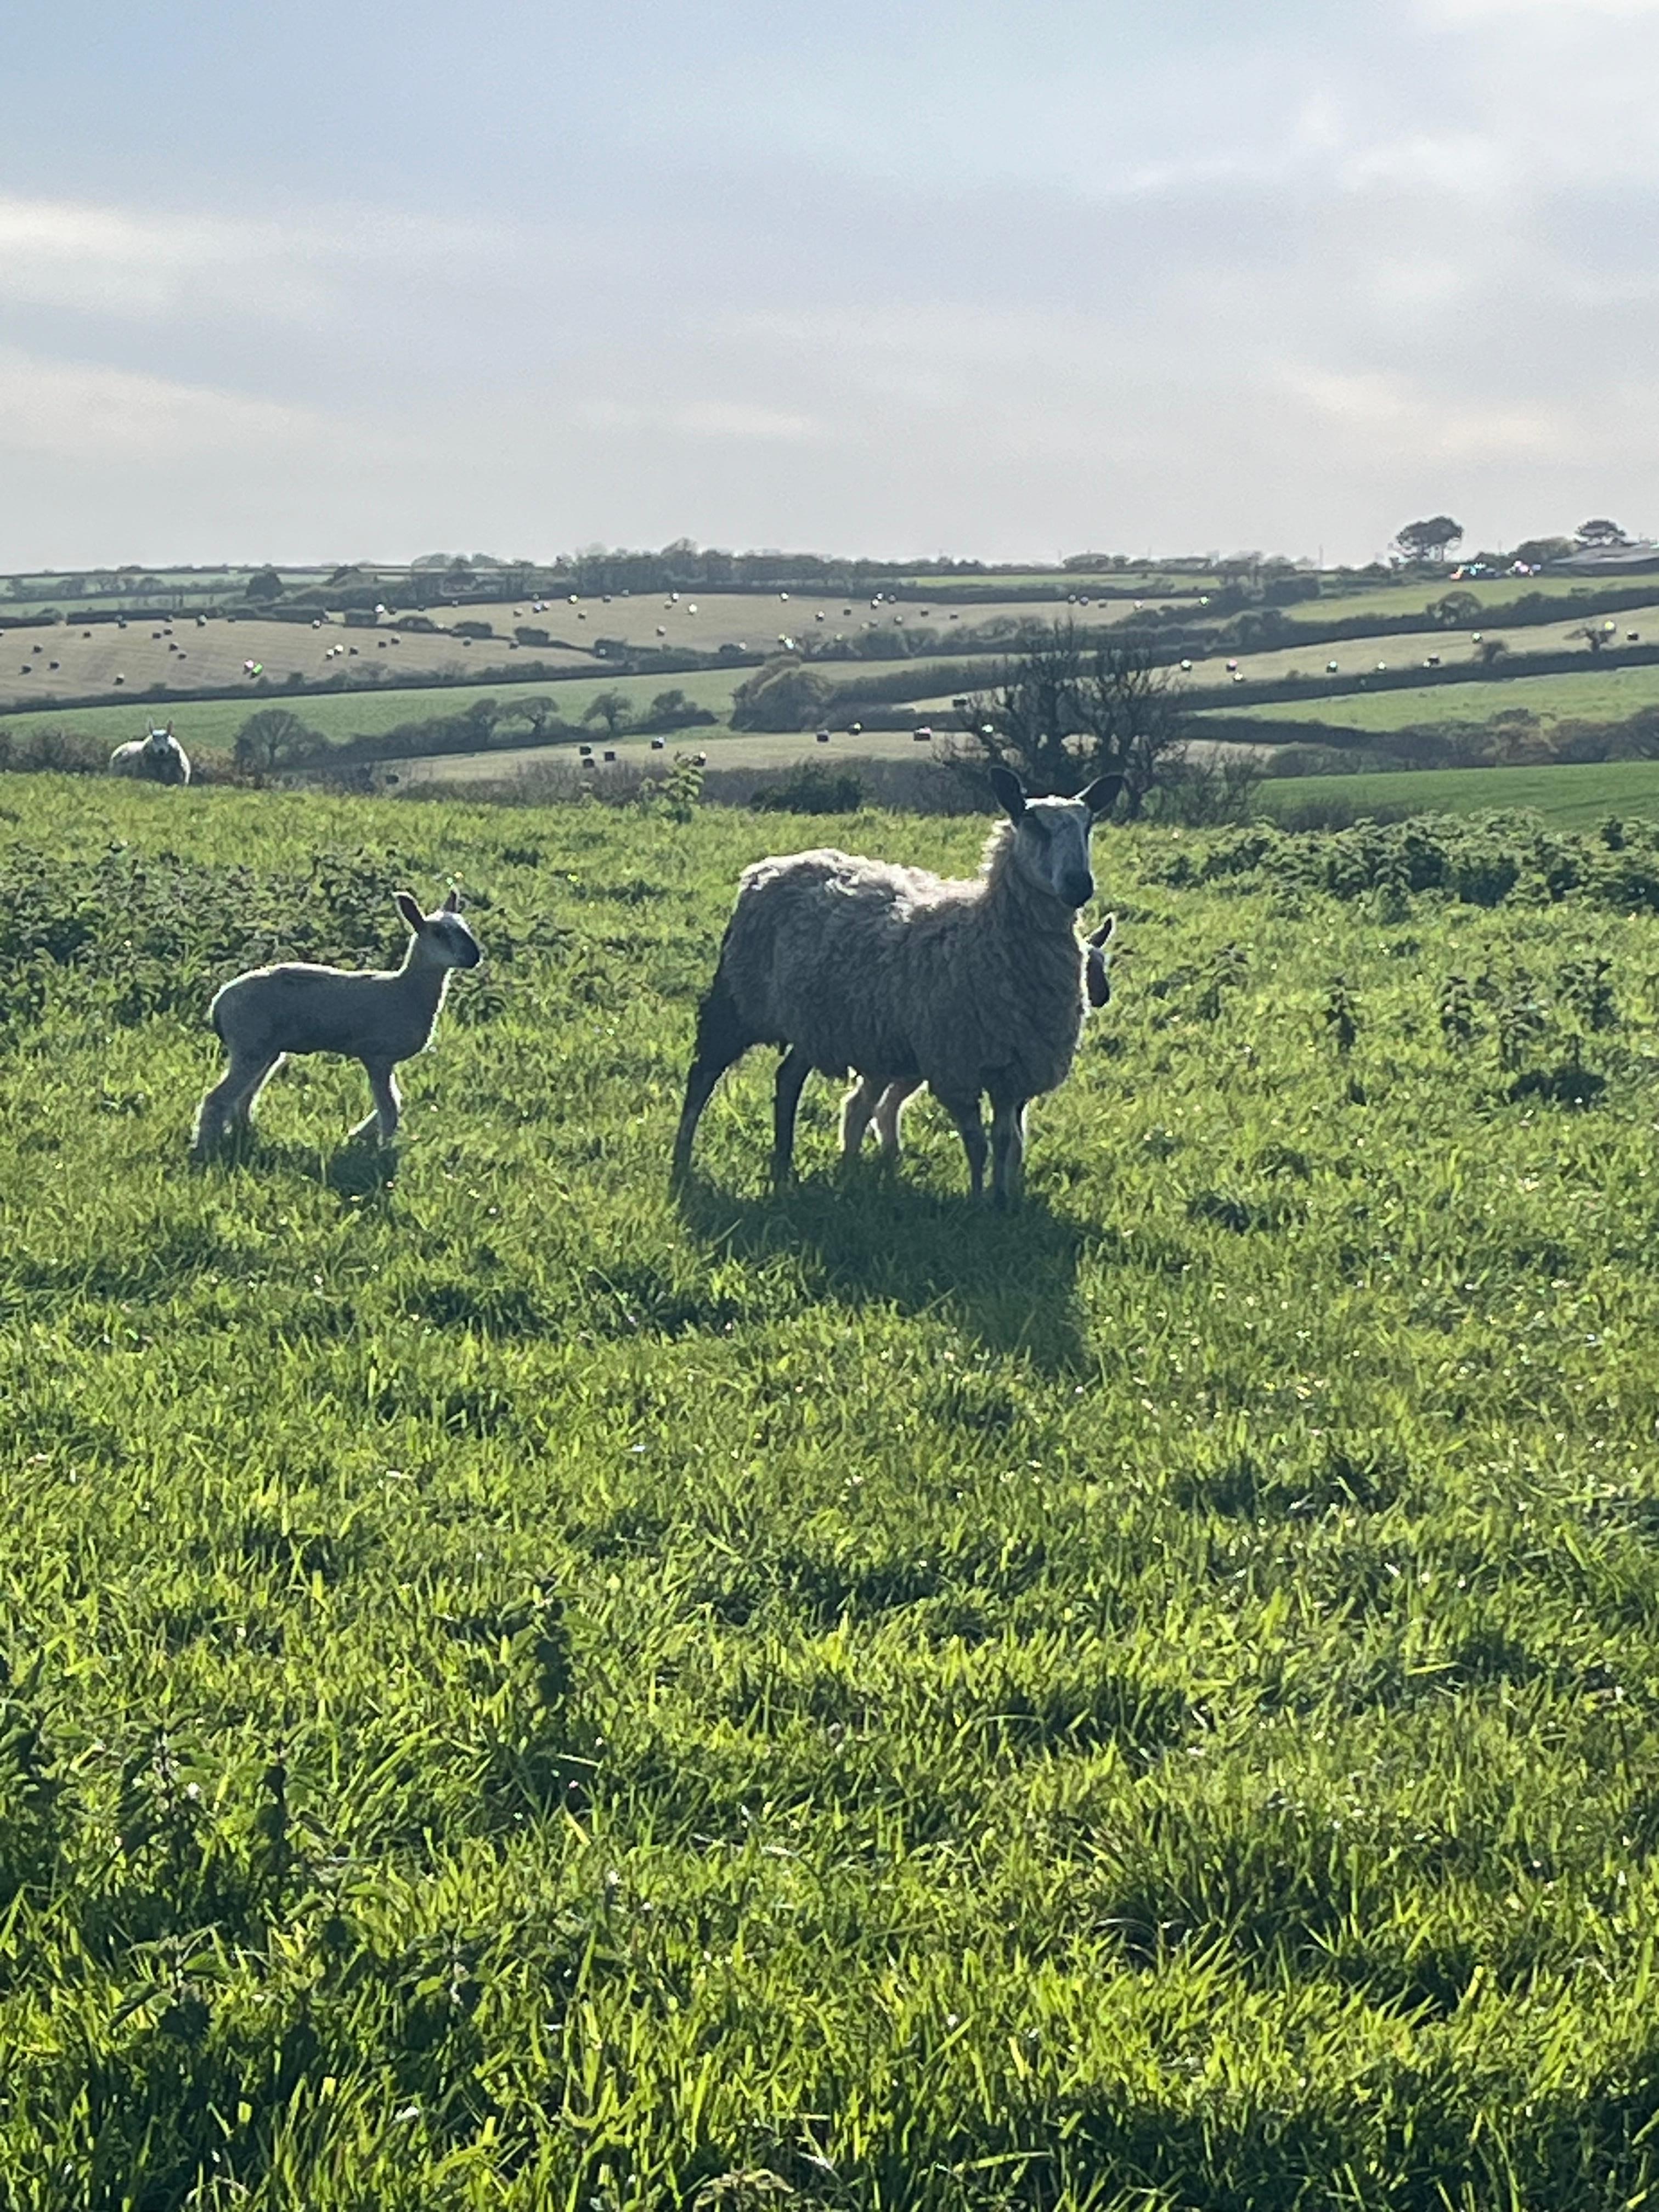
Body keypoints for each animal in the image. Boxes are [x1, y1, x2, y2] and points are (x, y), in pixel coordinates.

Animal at [191, 889, 481, 1159]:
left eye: (466, 928)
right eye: (439, 934)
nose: (474, 957)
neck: (407, 991)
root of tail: (218, 1004)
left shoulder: (383, 1060)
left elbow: (394, 1101)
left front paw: (359, 1136)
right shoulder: (377, 1055)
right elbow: (390, 1107)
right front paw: (383, 1149)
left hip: (265, 1049)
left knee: (244, 1097)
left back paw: (244, 1134)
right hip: (250, 1042)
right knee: (218, 1099)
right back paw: (205, 1148)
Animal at [671, 766, 1122, 1204]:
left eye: (1088, 825)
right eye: (1034, 825)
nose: (1080, 884)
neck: (984, 933)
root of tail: (769, 867)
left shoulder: (1012, 1071)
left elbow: (1007, 1140)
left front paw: (1003, 1200)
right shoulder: (955, 1069)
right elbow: (977, 1144)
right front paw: (978, 1202)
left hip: (814, 1020)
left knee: (788, 1079)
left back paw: (784, 1166)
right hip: (739, 999)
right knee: (703, 1075)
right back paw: (682, 1161)